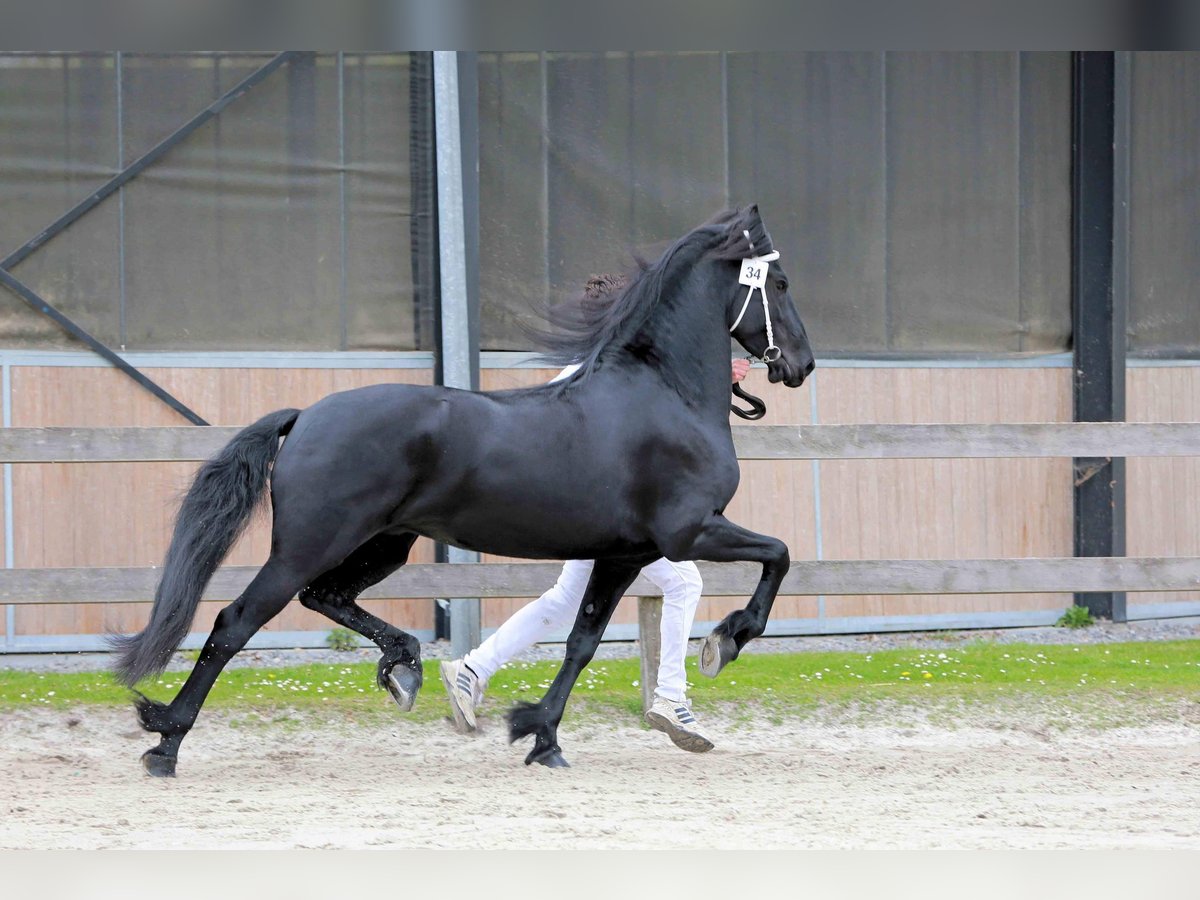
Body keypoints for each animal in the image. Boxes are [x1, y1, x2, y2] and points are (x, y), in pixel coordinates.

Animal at [112, 204, 816, 777]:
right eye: (780, 284)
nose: (801, 365)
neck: (665, 395)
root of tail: (307, 416)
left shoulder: (623, 554)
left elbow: (581, 643)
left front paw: (540, 736)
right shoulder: (689, 530)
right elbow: (779, 555)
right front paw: (726, 640)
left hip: (384, 545)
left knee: (327, 597)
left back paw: (406, 667)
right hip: (307, 547)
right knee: (234, 624)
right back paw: (165, 743)